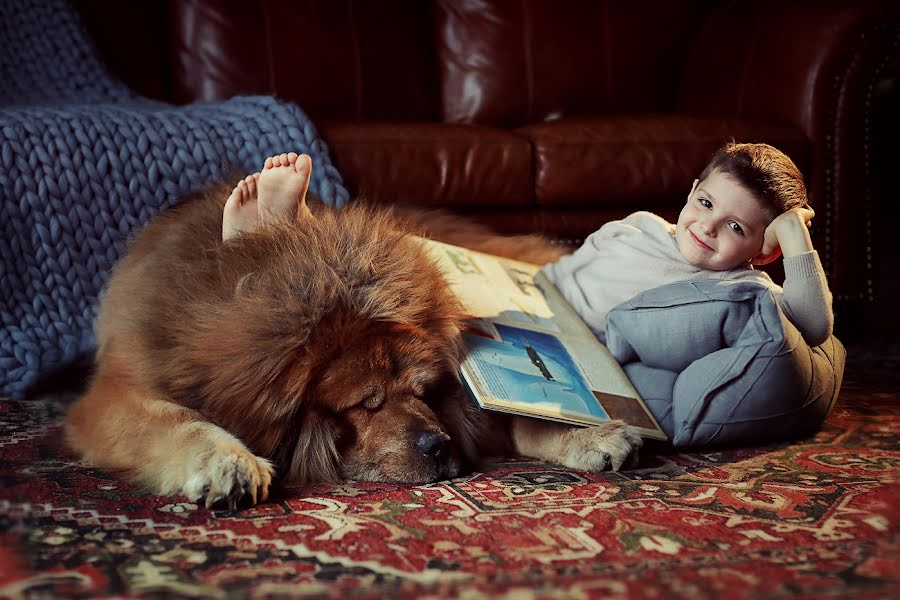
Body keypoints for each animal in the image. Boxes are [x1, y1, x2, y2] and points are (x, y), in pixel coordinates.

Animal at [65, 183, 640, 506]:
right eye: (366, 403)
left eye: (425, 392)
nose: (439, 446)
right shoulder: (122, 390)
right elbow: (179, 420)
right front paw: (225, 461)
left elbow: (510, 419)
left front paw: (586, 435)